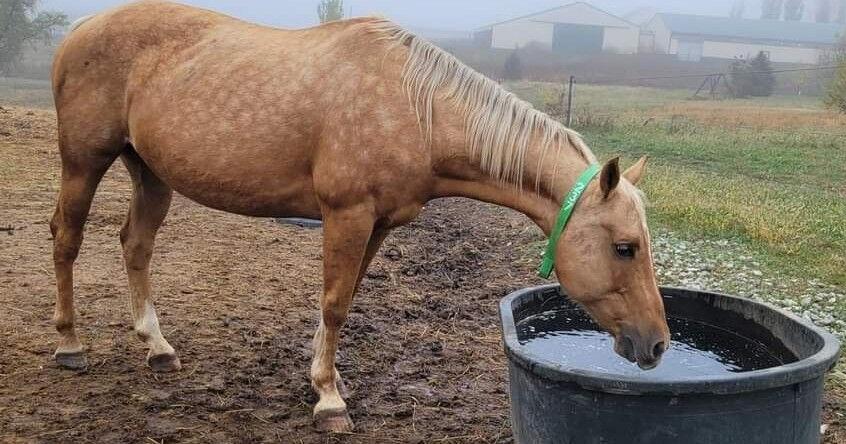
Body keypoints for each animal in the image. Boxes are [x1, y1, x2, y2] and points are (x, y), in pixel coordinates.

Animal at [50, 1, 670, 433]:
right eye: (625, 247)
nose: (658, 346)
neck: (416, 107)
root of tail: (81, 28)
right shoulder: (346, 215)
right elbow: (333, 302)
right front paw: (328, 400)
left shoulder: (379, 223)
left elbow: (344, 301)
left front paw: (327, 378)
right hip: (84, 161)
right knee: (66, 239)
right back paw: (70, 346)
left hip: (151, 173)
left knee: (135, 245)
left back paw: (157, 348)